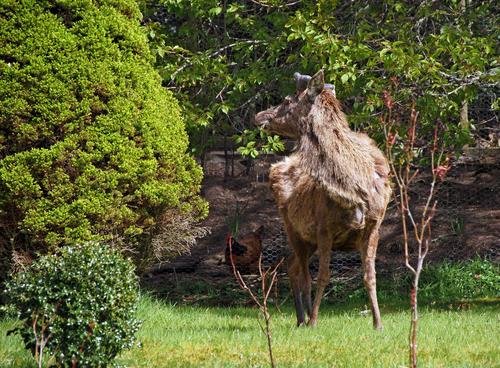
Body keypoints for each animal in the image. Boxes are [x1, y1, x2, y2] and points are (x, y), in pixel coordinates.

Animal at [256, 70, 392, 330]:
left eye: (287, 100)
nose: (259, 115)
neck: (355, 190)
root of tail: (276, 167)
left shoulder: (374, 225)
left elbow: (370, 276)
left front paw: (378, 323)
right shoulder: (323, 227)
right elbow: (323, 276)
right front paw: (316, 320)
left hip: (307, 240)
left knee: (293, 266)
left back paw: (302, 317)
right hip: (293, 228)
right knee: (300, 271)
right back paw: (306, 318)